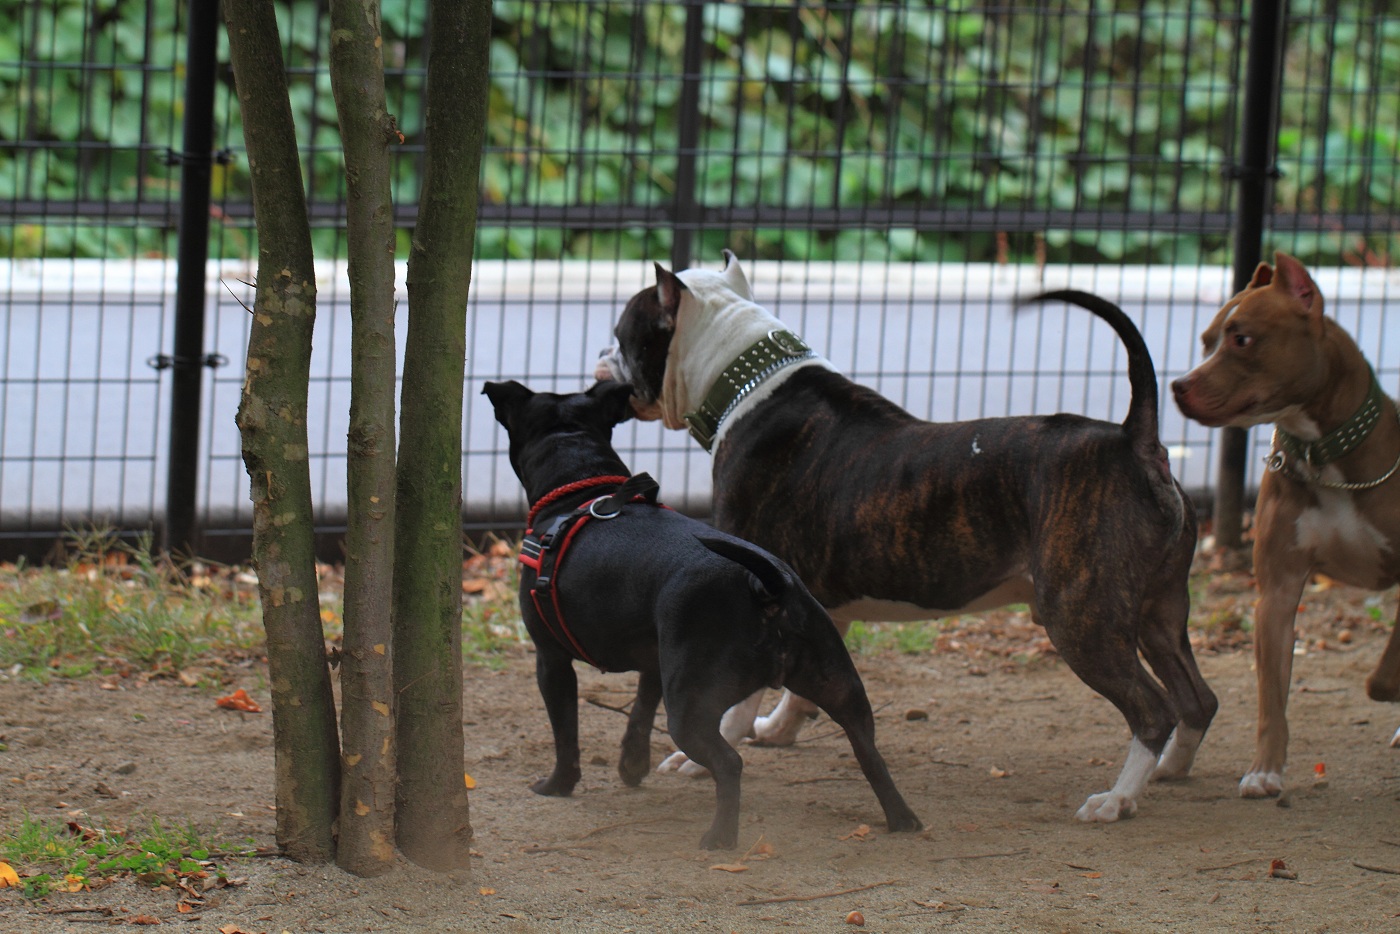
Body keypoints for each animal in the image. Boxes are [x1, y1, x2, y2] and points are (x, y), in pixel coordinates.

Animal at [482, 378, 922, 849]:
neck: (580, 488)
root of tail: (767, 587)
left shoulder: (551, 660)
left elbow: (566, 733)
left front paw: (557, 785)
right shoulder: (654, 664)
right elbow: (639, 716)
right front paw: (631, 768)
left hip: (690, 710)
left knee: (729, 764)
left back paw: (720, 837)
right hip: (842, 690)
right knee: (869, 754)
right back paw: (903, 820)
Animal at [595, 251, 1219, 822]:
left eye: (620, 334)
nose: (600, 356)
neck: (747, 382)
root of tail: (1133, 441)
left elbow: (738, 703)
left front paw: (703, 755)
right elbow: (802, 686)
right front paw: (779, 728)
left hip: (1082, 617)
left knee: (1153, 710)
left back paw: (1118, 799)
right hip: (1159, 611)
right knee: (1197, 699)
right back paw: (1170, 769)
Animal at [1172, 251, 1400, 799]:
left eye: (1242, 339)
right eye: (1207, 341)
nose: (1179, 385)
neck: (1324, 454)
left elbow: (1383, 678)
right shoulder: (1276, 592)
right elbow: (1271, 699)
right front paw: (1265, 770)